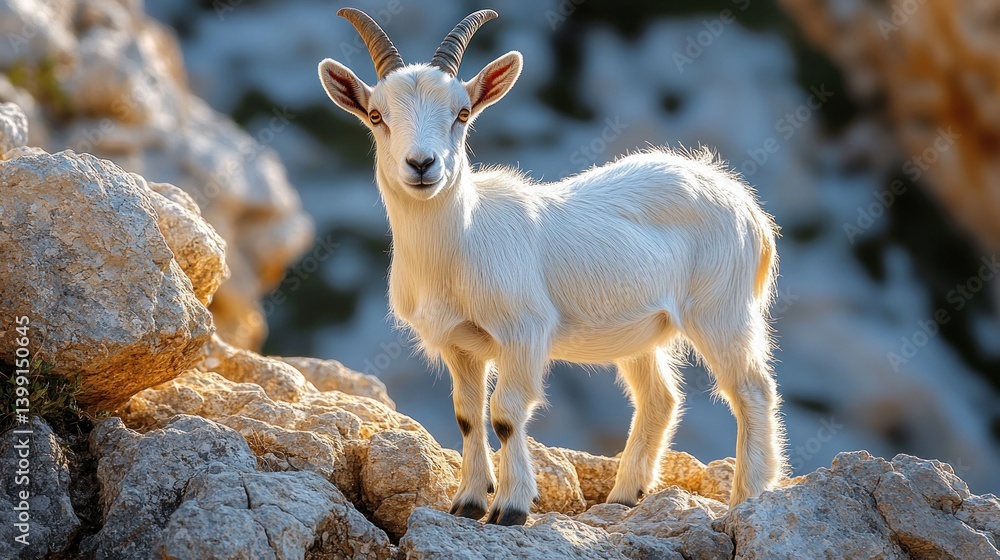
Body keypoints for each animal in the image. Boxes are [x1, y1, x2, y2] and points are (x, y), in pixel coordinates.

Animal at [319, 8, 786, 526]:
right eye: (376, 116)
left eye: (462, 113)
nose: (422, 164)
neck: (461, 245)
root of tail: (748, 207)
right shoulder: (459, 344)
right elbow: (467, 414)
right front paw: (468, 502)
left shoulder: (524, 330)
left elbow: (506, 413)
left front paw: (510, 507)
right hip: (642, 328)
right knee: (660, 397)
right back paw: (625, 495)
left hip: (722, 308)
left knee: (752, 389)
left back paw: (748, 498)